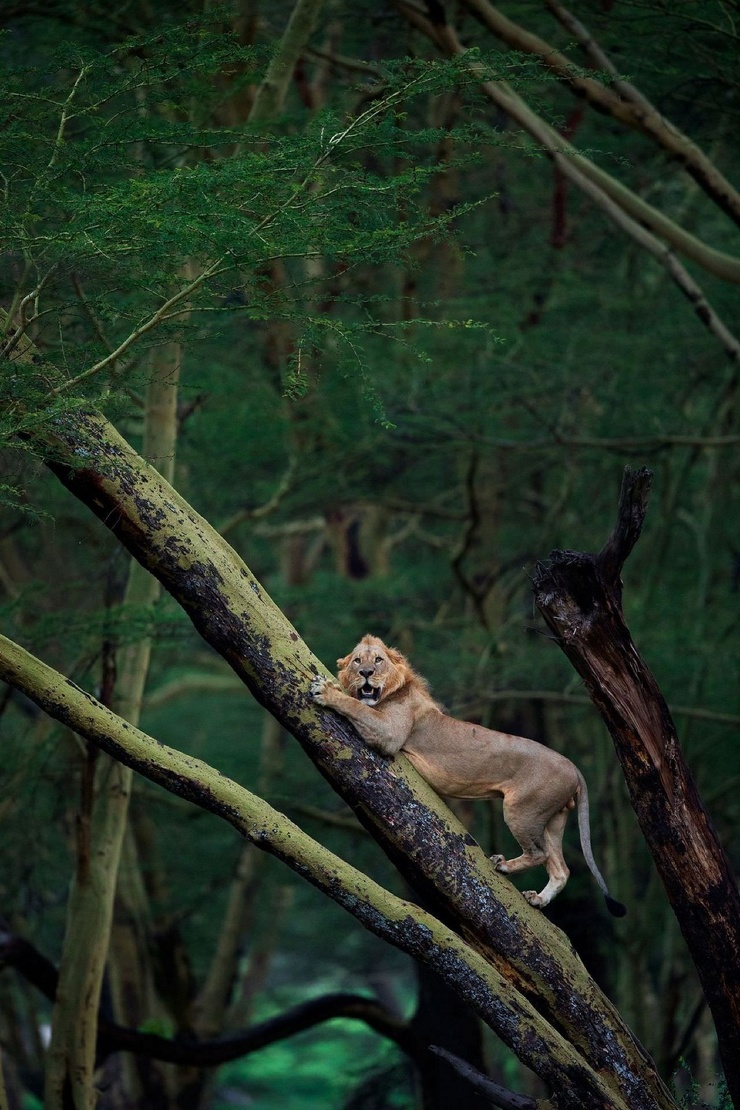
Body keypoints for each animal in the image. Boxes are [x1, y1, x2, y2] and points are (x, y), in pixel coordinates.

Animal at [310, 639, 625, 914]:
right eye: (357, 661)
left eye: (378, 660)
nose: (366, 673)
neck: (394, 692)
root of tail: (574, 768)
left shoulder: (390, 734)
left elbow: (356, 706)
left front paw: (326, 692)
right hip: (553, 818)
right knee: (561, 868)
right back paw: (538, 899)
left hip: (522, 808)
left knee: (540, 854)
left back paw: (504, 865)